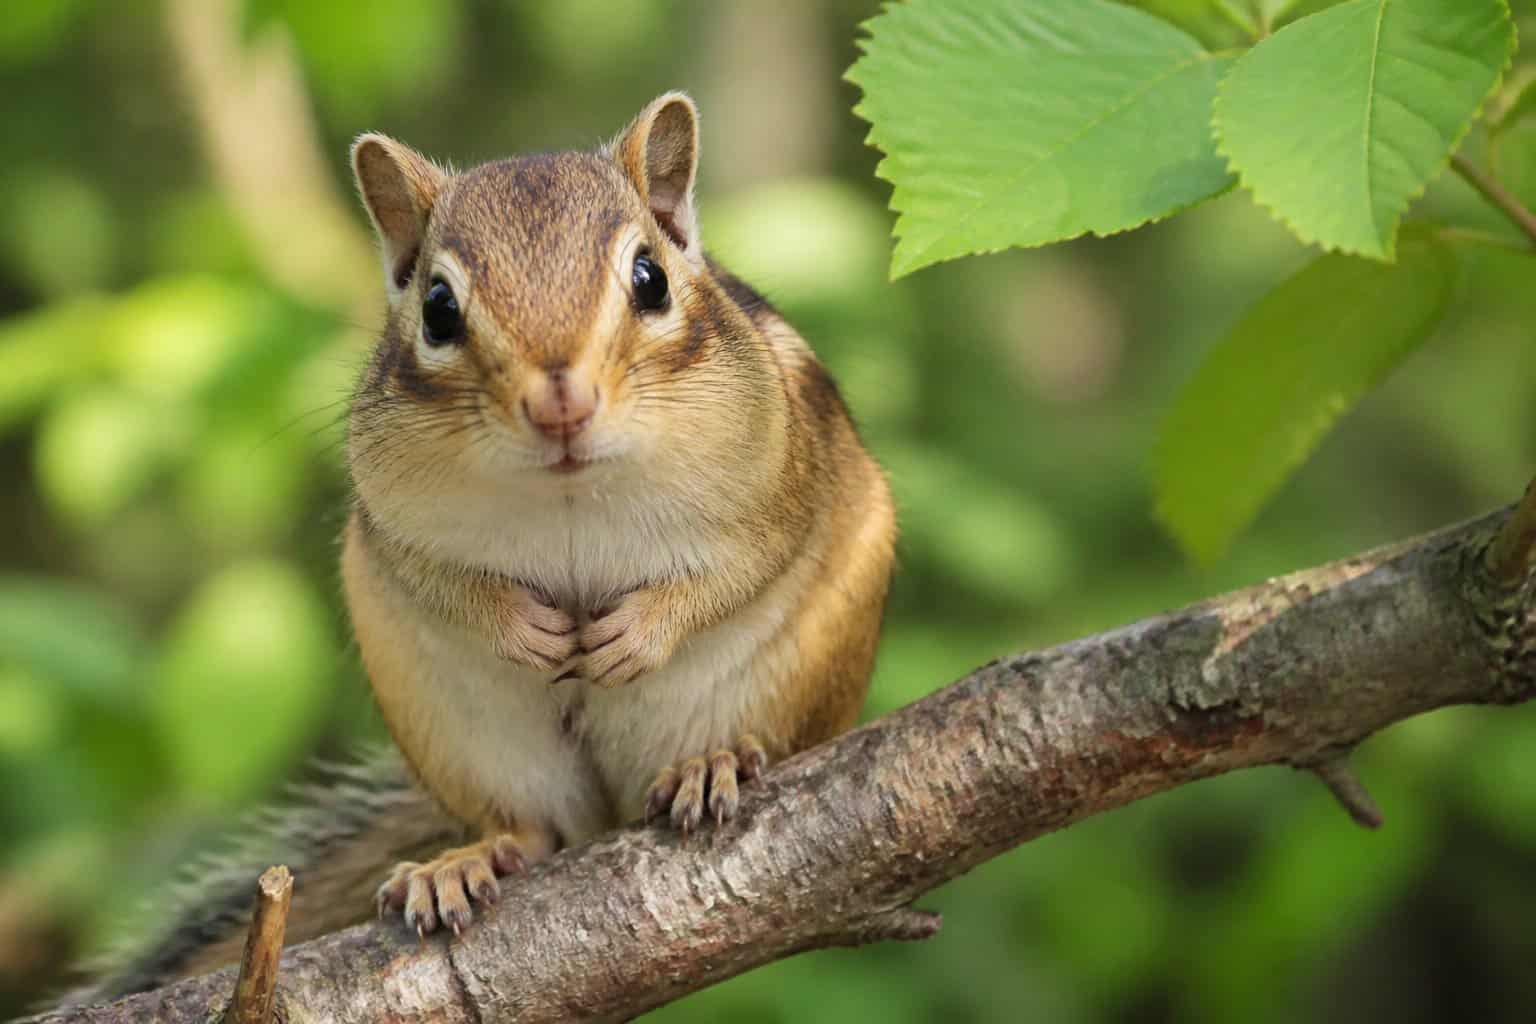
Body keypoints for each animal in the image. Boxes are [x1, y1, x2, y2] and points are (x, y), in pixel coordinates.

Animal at [69, 91, 895, 1001]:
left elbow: (742, 565)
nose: (560, 401)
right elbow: (439, 580)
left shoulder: (783, 473)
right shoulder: (392, 520)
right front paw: (523, 628)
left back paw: (712, 763)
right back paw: (462, 863)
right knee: (530, 829)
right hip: (465, 740)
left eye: (649, 279)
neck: (566, 491)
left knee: (773, 744)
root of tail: (613, 811)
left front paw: (637, 632)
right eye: (438, 308)